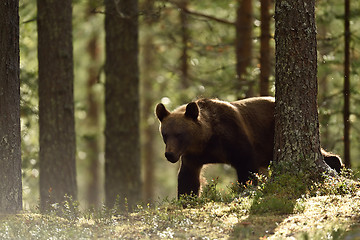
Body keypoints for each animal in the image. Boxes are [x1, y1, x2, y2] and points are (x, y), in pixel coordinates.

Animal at [156, 96, 344, 198]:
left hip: (270, 136)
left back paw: (337, 165)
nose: (169, 154)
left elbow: (246, 166)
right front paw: (186, 198)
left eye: (180, 134)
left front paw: (246, 188)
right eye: (165, 134)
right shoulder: (193, 156)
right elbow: (188, 178)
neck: (207, 139)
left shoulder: (234, 137)